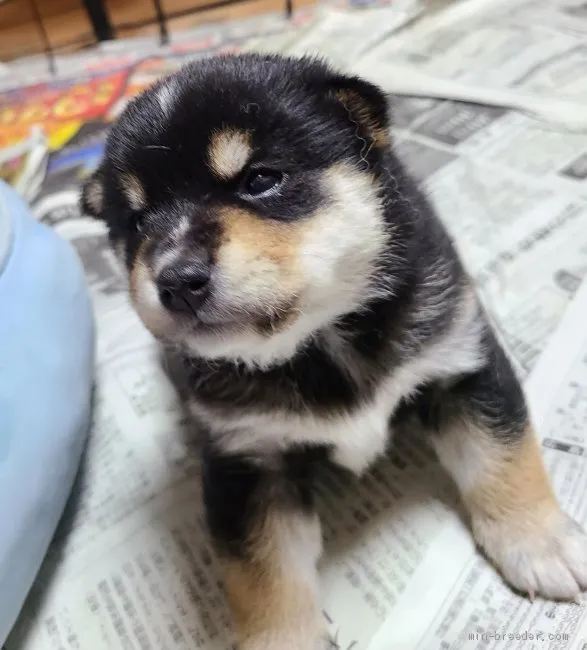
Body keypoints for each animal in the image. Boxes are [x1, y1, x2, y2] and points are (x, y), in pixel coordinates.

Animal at [81, 53, 587, 644]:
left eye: (261, 179)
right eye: (136, 221)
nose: (176, 280)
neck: (318, 341)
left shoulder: (460, 364)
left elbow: (503, 459)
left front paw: (540, 542)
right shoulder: (248, 459)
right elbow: (264, 573)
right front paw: (284, 639)